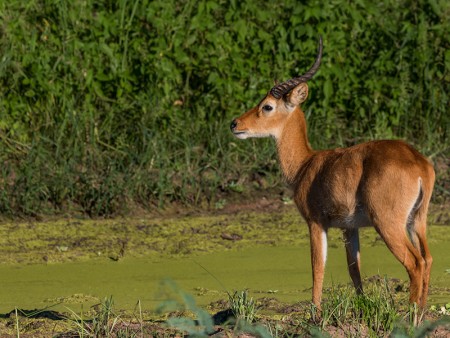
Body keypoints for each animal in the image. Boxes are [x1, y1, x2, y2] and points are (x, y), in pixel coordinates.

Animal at [230, 37, 434, 308]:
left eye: (267, 106)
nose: (235, 124)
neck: (305, 164)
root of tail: (419, 164)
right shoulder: (350, 227)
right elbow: (354, 268)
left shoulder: (316, 222)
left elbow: (317, 268)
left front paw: (314, 311)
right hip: (417, 221)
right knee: (428, 259)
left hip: (388, 223)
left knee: (415, 263)